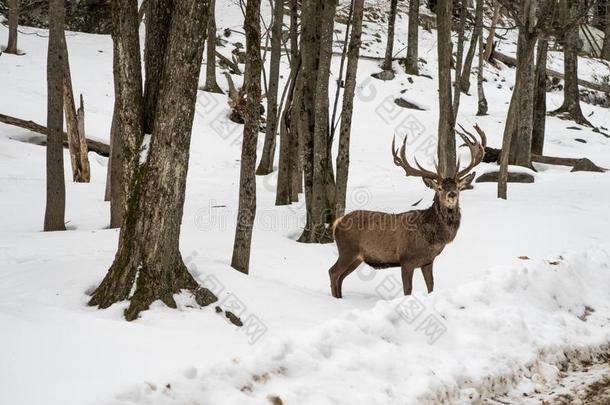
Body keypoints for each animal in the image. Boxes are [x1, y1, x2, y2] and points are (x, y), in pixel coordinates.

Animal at [328, 124, 484, 298]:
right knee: (333, 272)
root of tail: (337, 223)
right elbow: (407, 290)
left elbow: (431, 286)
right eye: (439, 188)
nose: (452, 194)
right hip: (347, 250)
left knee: (340, 277)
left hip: (356, 258)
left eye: (457, 186)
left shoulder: (428, 261)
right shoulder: (406, 260)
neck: (432, 239)